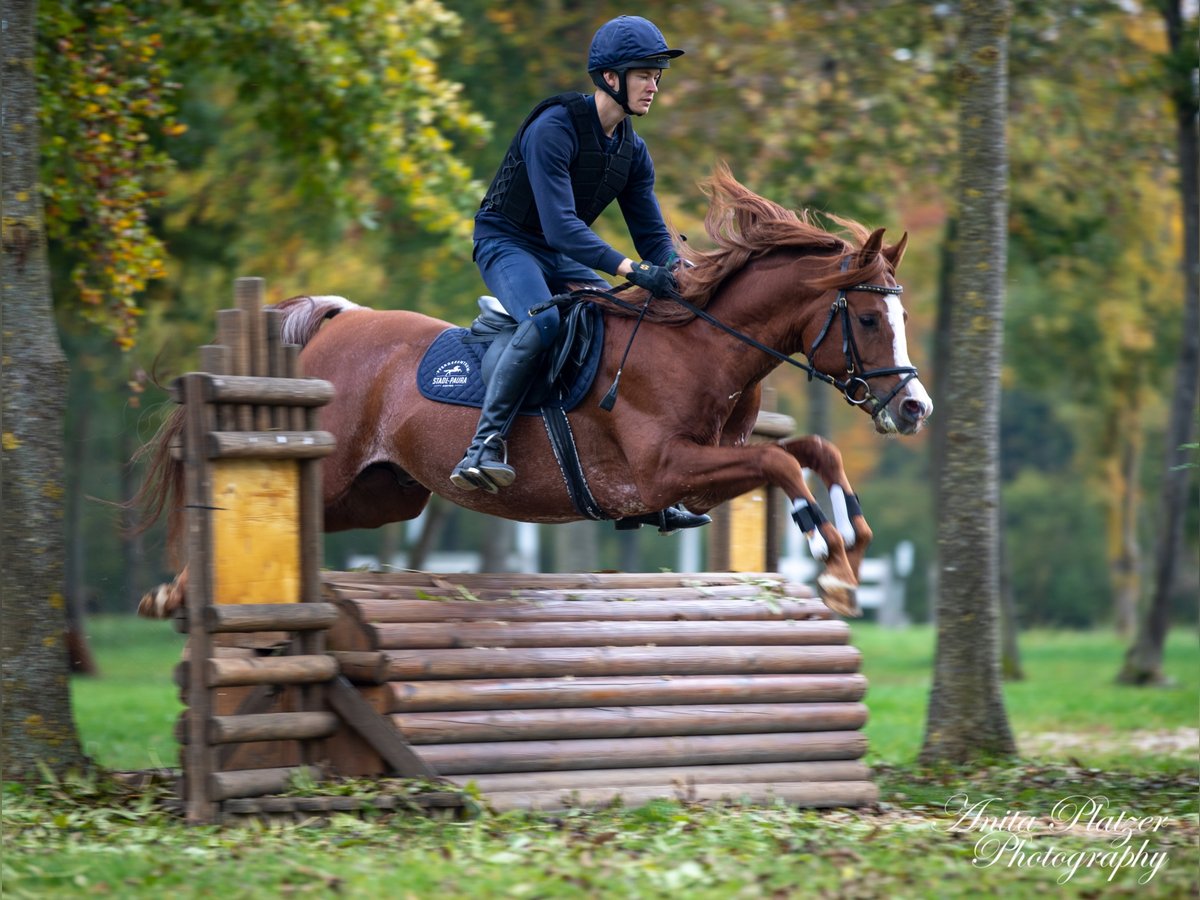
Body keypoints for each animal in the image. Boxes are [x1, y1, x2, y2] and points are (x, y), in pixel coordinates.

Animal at [138, 168, 926, 619]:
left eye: (900, 317)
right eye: (865, 319)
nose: (915, 408)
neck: (699, 345)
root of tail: (341, 317)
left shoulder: (697, 477)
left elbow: (815, 450)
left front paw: (852, 543)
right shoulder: (661, 471)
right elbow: (781, 462)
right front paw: (832, 564)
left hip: (383, 493)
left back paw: (178, 593)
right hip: (339, 473)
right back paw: (176, 592)